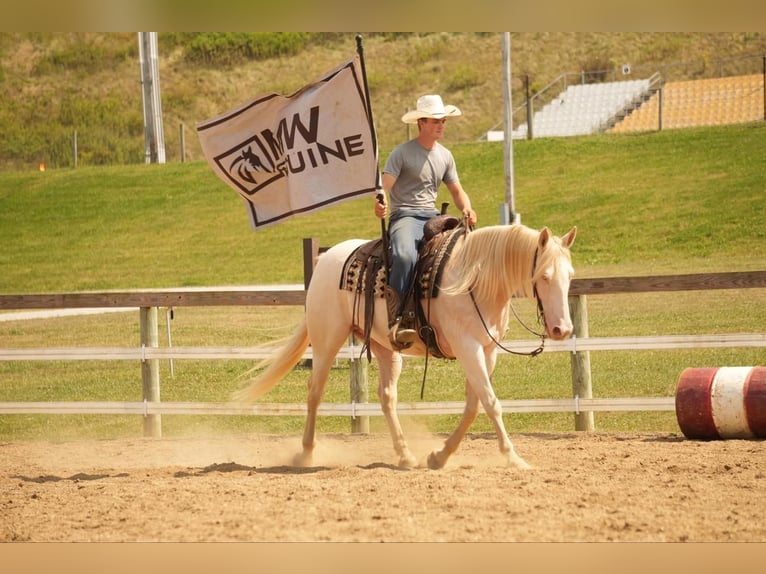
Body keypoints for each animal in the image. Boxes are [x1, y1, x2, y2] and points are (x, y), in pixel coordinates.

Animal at [237, 223, 580, 470]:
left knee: (387, 397)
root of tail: (325, 259)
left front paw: (439, 456)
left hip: (386, 347)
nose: (563, 329)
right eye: (544, 275)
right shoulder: (468, 347)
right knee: (315, 391)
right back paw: (306, 454)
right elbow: (491, 402)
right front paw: (514, 458)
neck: (474, 281)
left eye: (570, 275)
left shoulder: (487, 350)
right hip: (327, 340)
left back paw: (405, 455)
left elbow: (474, 405)